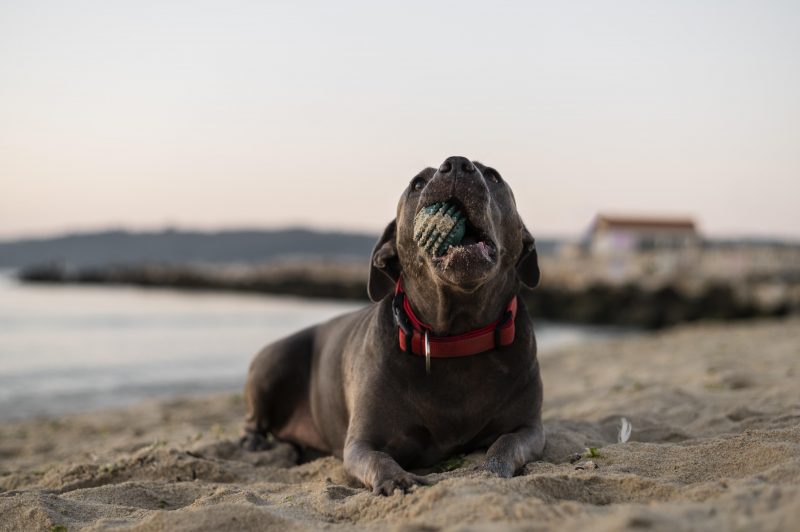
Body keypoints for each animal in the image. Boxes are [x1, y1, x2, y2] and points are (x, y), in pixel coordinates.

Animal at [242, 157, 544, 494]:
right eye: (416, 183)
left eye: (493, 176)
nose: (456, 164)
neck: (457, 336)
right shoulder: (361, 443)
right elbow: (378, 458)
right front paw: (397, 478)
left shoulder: (529, 428)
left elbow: (506, 443)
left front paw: (492, 468)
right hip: (274, 361)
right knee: (253, 419)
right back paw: (254, 443)